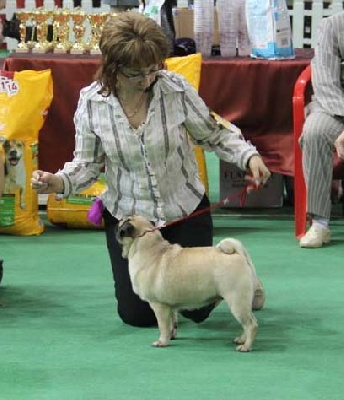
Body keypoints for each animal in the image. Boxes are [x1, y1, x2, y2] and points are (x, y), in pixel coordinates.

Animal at [116, 214, 266, 352]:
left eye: (120, 224)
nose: (116, 227)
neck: (152, 251)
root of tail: (237, 254)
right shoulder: (170, 306)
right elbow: (172, 323)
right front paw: (171, 336)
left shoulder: (159, 306)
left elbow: (163, 326)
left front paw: (162, 341)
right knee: (247, 323)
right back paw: (241, 339)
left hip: (237, 302)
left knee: (251, 325)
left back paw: (246, 346)